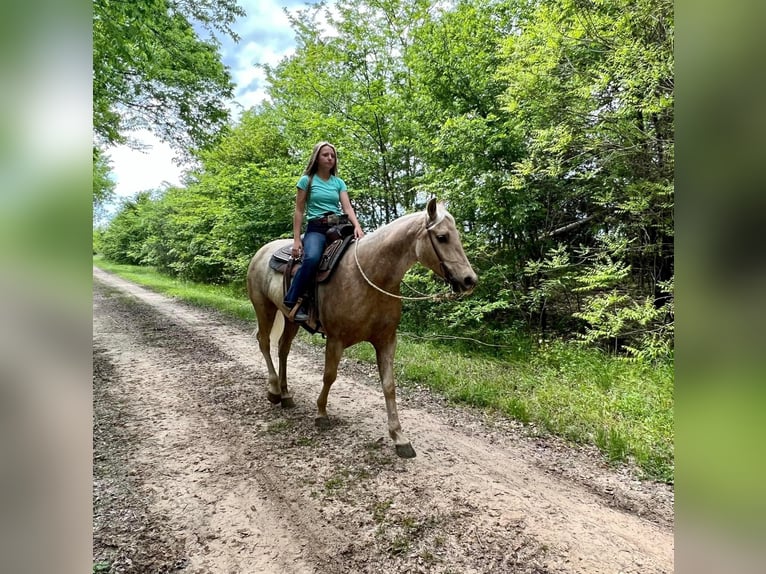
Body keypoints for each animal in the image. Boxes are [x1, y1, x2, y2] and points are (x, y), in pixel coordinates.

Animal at [246, 198, 476, 460]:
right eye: (442, 237)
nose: (470, 280)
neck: (369, 275)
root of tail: (262, 251)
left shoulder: (386, 341)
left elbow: (389, 385)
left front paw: (399, 437)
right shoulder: (335, 339)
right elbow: (329, 376)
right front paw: (321, 414)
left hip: (291, 319)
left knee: (283, 349)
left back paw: (285, 395)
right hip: (264, 307)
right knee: (264, 342)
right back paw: (274, 390)